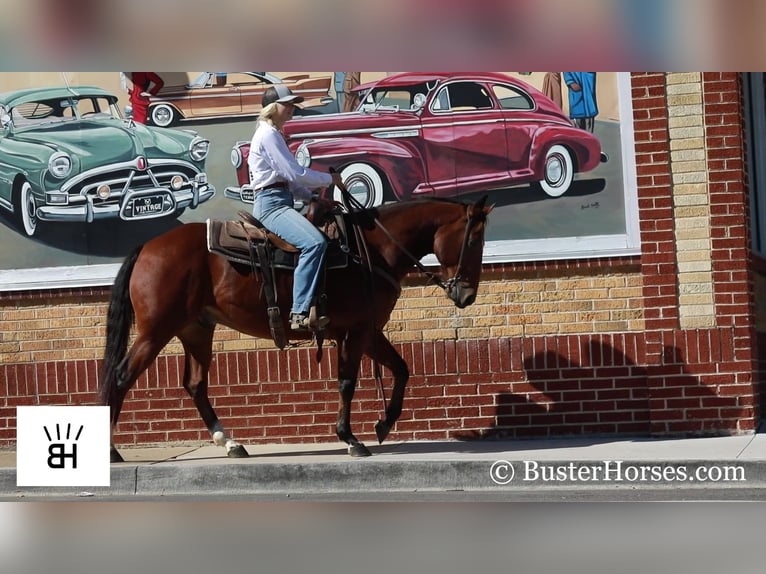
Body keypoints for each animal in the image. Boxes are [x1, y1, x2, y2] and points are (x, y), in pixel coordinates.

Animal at [100, 198, 492, 464]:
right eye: (474, 240)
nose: (468, 295)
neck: (371, 250)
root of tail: (148, 247)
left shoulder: (368, 331)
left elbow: (401, 368)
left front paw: (383, 423)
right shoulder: (357, 331)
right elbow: (348, 382)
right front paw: (350, 438)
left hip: (195, 330)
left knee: (195, 385)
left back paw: (230, 443)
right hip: (156, 330)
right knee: (120, 376)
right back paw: (111, 450)